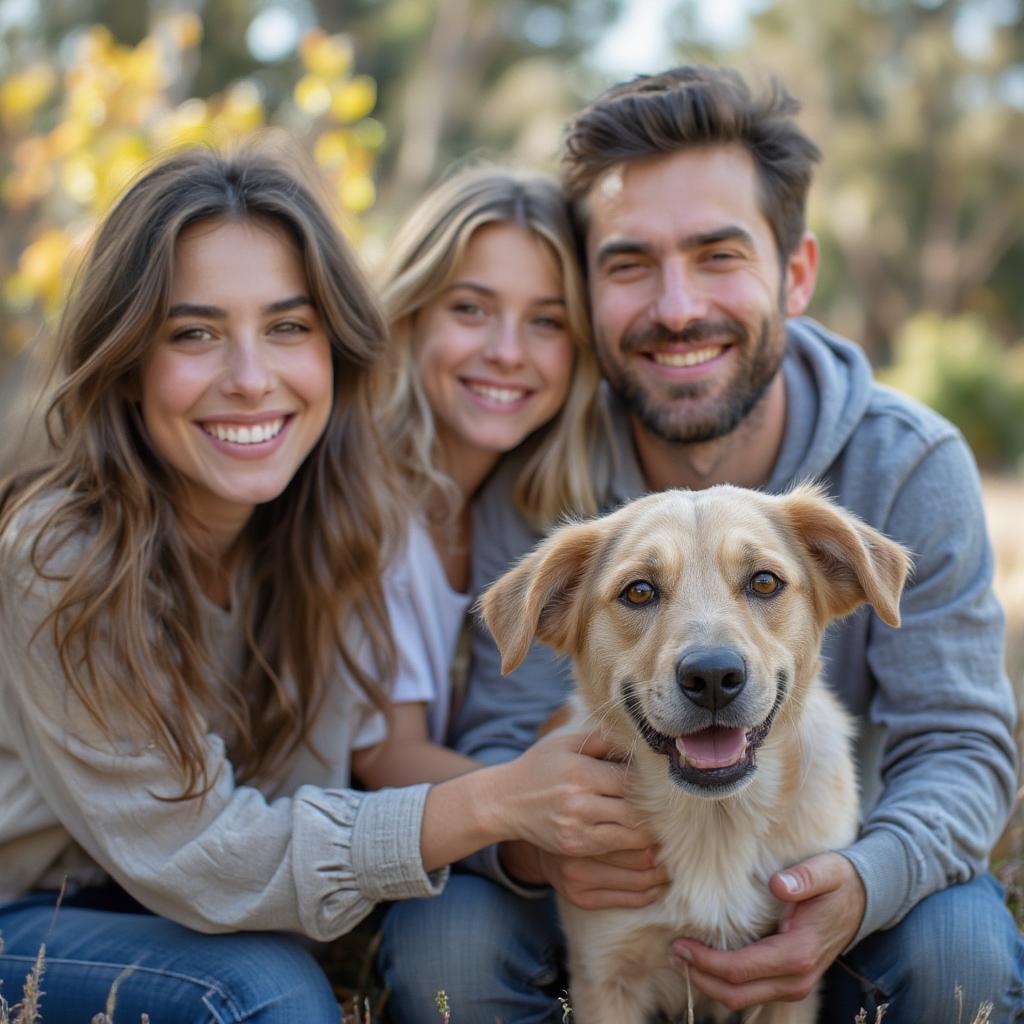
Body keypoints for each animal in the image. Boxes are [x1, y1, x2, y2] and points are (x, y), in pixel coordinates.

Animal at [479, 485, 913, 1024]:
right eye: (639, 591)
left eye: (764, 582)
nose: (711, 677)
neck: (715, 824)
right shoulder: (606, 975)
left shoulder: (790, 981)